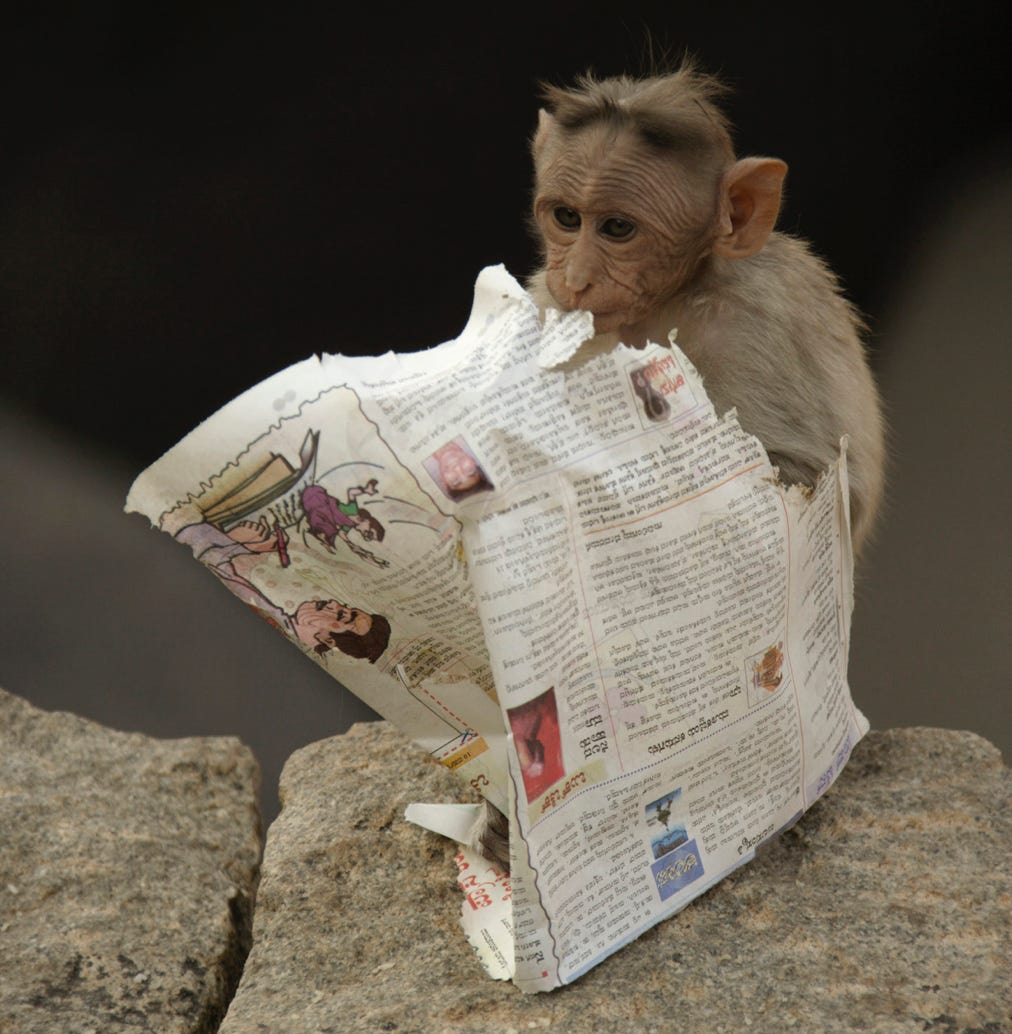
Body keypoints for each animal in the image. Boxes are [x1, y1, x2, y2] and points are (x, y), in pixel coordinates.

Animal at [475, 62, 884, 872]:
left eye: (618, 228)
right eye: (565, 216)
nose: (576, 275)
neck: (669, 296)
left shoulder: (752, 318)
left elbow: (800, 479)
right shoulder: (545, 309)